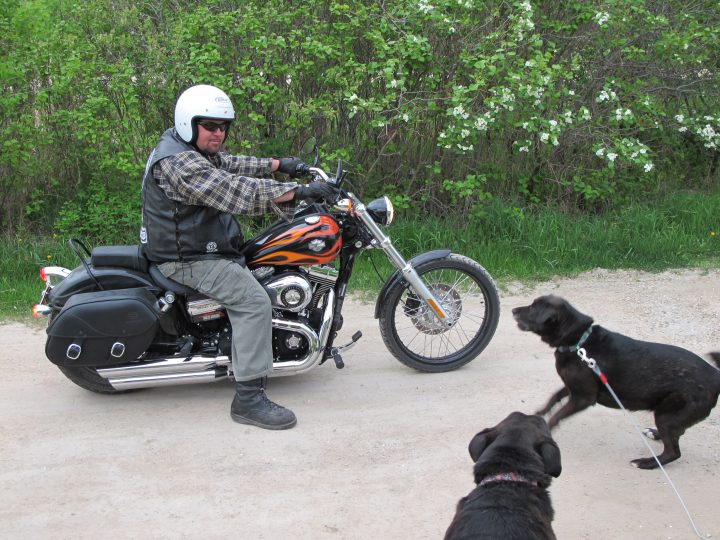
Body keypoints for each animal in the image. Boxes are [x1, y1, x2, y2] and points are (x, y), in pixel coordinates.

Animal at [512, 296, 720, 468]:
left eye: (533, 307)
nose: (513, 310)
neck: (579, 342)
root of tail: (715, 375)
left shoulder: (583, 398)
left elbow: (556, 417)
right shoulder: (573, 388)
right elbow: (553, 398)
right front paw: (539, 412)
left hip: (667, 416)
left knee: (673, 452)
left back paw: (646, 463)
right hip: (668, 414)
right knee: (676, 435)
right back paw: (655, 434)